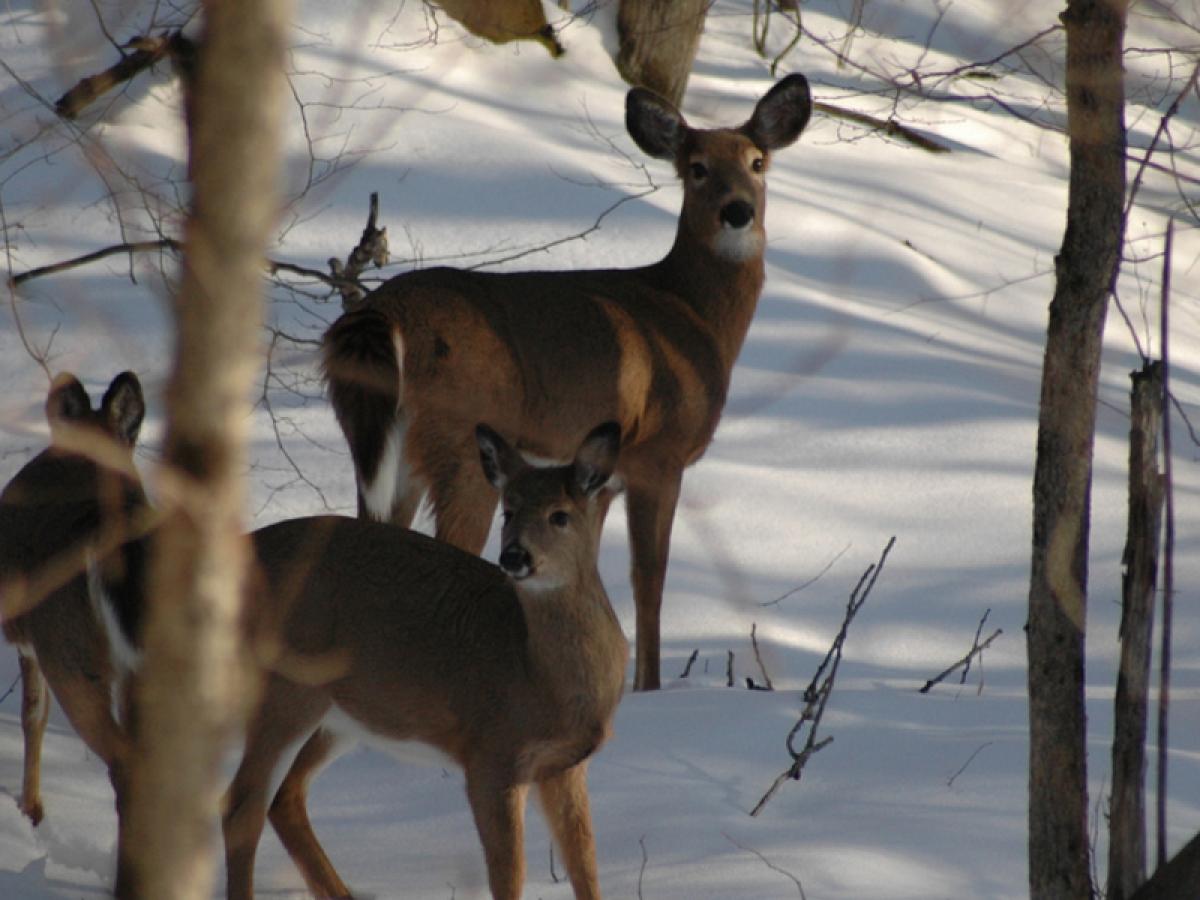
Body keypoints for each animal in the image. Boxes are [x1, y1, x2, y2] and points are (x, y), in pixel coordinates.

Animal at [222, 422, 628, 900]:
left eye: (560, 515)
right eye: (508, 512)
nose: (513, 556)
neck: (535, 672)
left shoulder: (564, 764)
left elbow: (585, 863)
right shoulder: (492, 754)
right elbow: (508, 872)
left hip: (339, 715)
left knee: (284, 795)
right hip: (285, 689)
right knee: (241, 805)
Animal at [324, 74, 816, 696]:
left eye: (758, 162)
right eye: (697, 167)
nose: (738, 211)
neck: (691, 317)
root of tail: (382, 313)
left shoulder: (596, 480)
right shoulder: (659, 454)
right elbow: (649, 579)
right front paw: (648, 688)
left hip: (382, 448)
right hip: (461, 442)